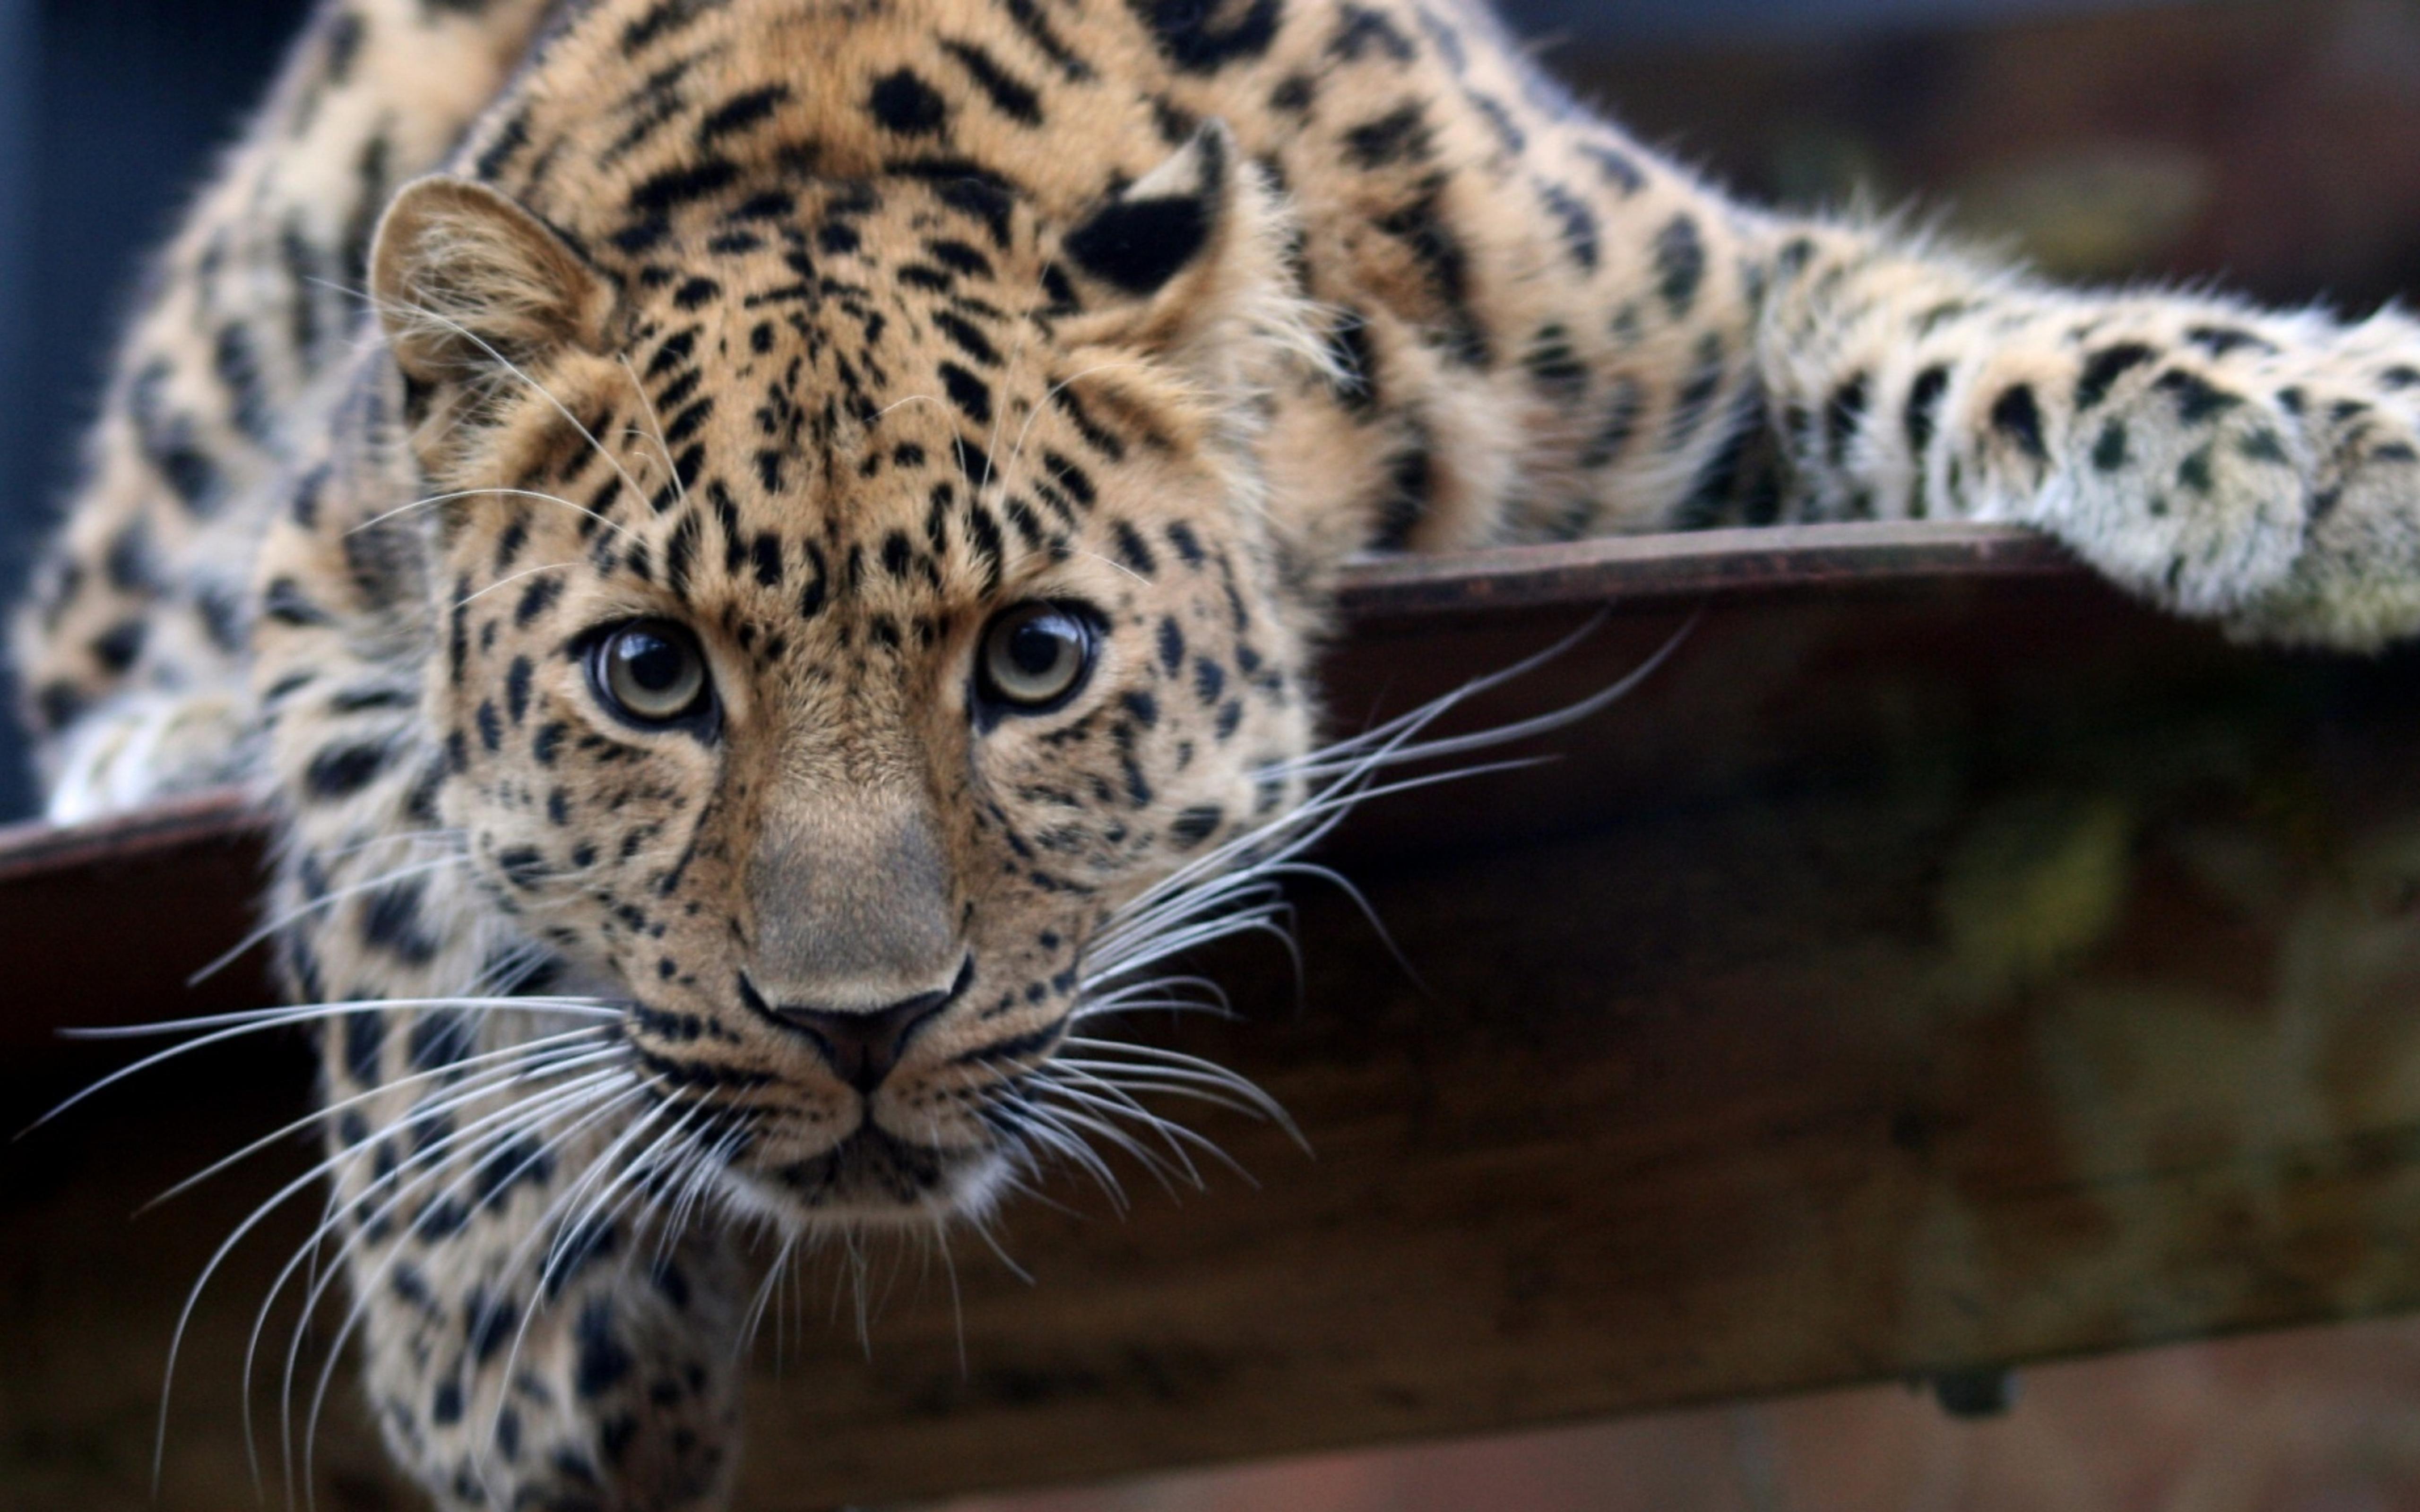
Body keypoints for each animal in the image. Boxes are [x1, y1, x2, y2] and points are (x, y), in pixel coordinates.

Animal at [14, 0, 2420, 1506]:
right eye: (647, 676)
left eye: (1035, 657)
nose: (855, 1025)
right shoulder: (334, 572)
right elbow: (399, 886)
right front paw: (516, 1363)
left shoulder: (1680, 314)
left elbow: (1940, 330)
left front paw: (2323, 438)